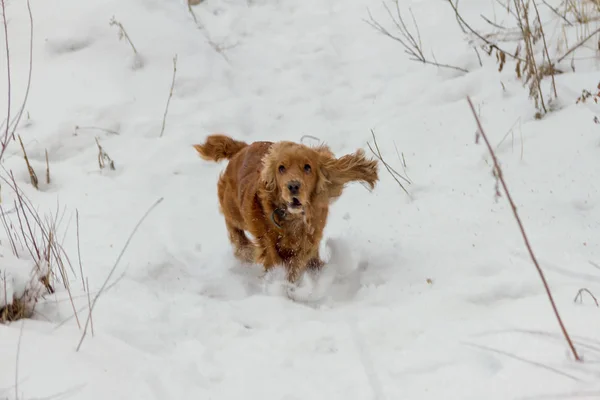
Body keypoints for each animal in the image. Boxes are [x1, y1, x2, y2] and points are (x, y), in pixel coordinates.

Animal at [193, 136, 380, 282]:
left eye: (307, 167)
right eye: (281, 168)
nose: (293, 186)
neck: (294, 218)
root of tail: (244, 148)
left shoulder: (310, 237)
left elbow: (299, 260)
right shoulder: (267, 240)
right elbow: (275, 258)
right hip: (233, 209)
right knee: (232, 225)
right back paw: (244, 248)